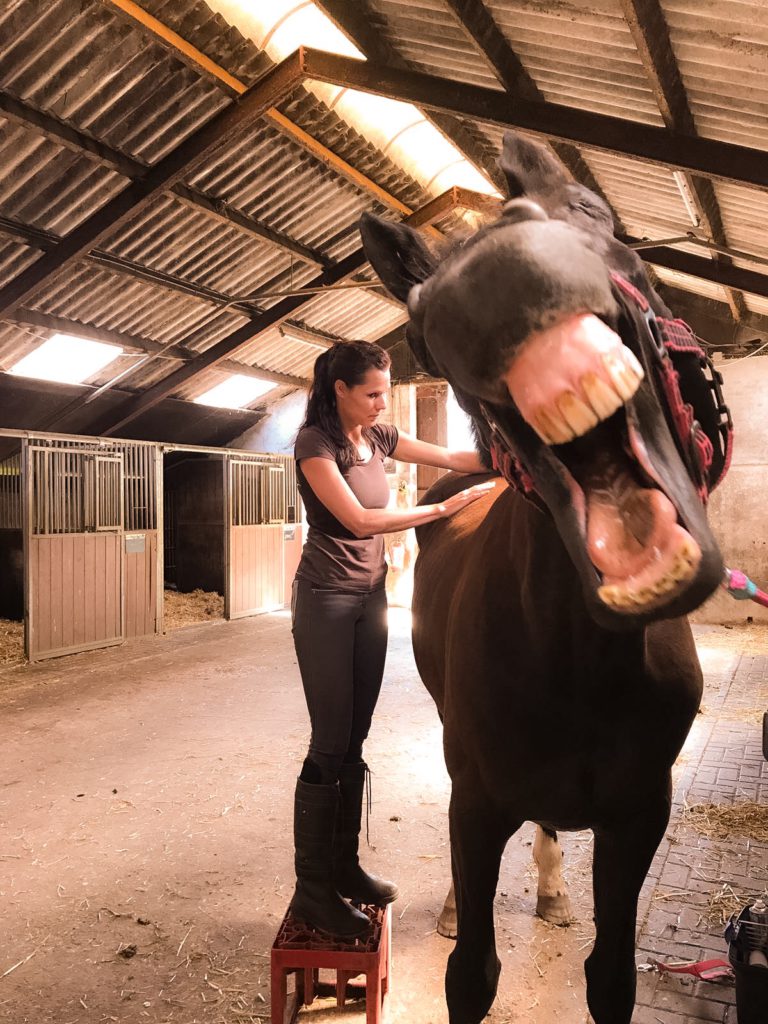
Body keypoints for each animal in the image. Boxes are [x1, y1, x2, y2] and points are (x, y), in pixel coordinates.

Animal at [360, 132, 730, 1024]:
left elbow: (612, 977)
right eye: (418, 328)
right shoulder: (477, 802)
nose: (491, 281)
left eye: (593, 209)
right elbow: (471, 973)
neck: (581, 660)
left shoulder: (639, 816)